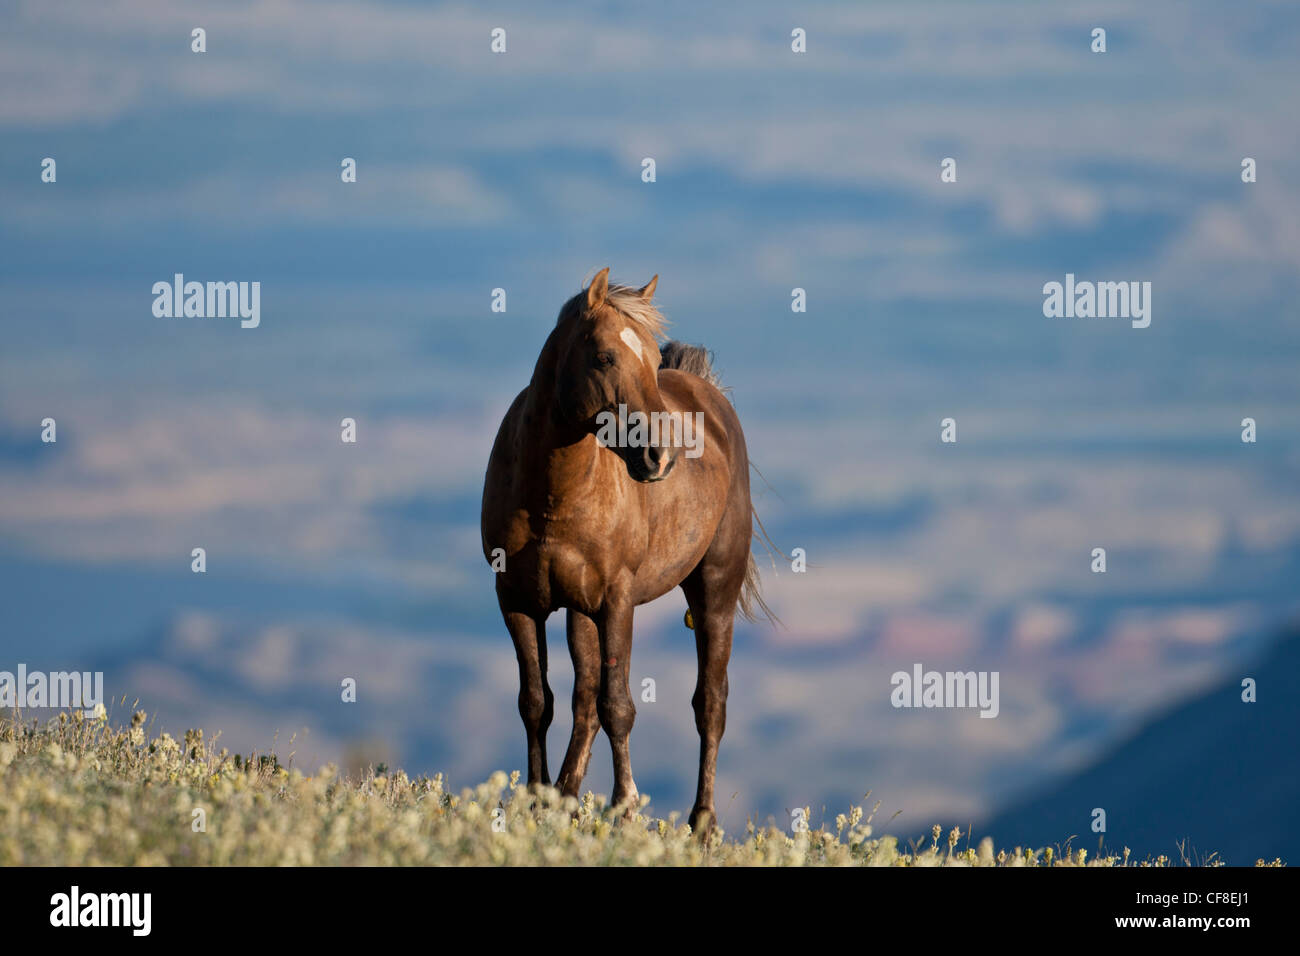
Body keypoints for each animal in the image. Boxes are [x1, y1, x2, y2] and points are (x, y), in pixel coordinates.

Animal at [488, 265, 769, 832]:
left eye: (652, 359)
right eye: (604, 357)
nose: (660, 456)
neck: (550, 494)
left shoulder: (617, 601)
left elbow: (618, 705)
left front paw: (625, 809)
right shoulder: (518, 603)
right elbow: (537, 702)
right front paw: (537, 803)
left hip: (714, 593)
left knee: (710, 703)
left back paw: (701, 825)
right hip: (579, 612)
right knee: (582, 702)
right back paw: (566, 797)